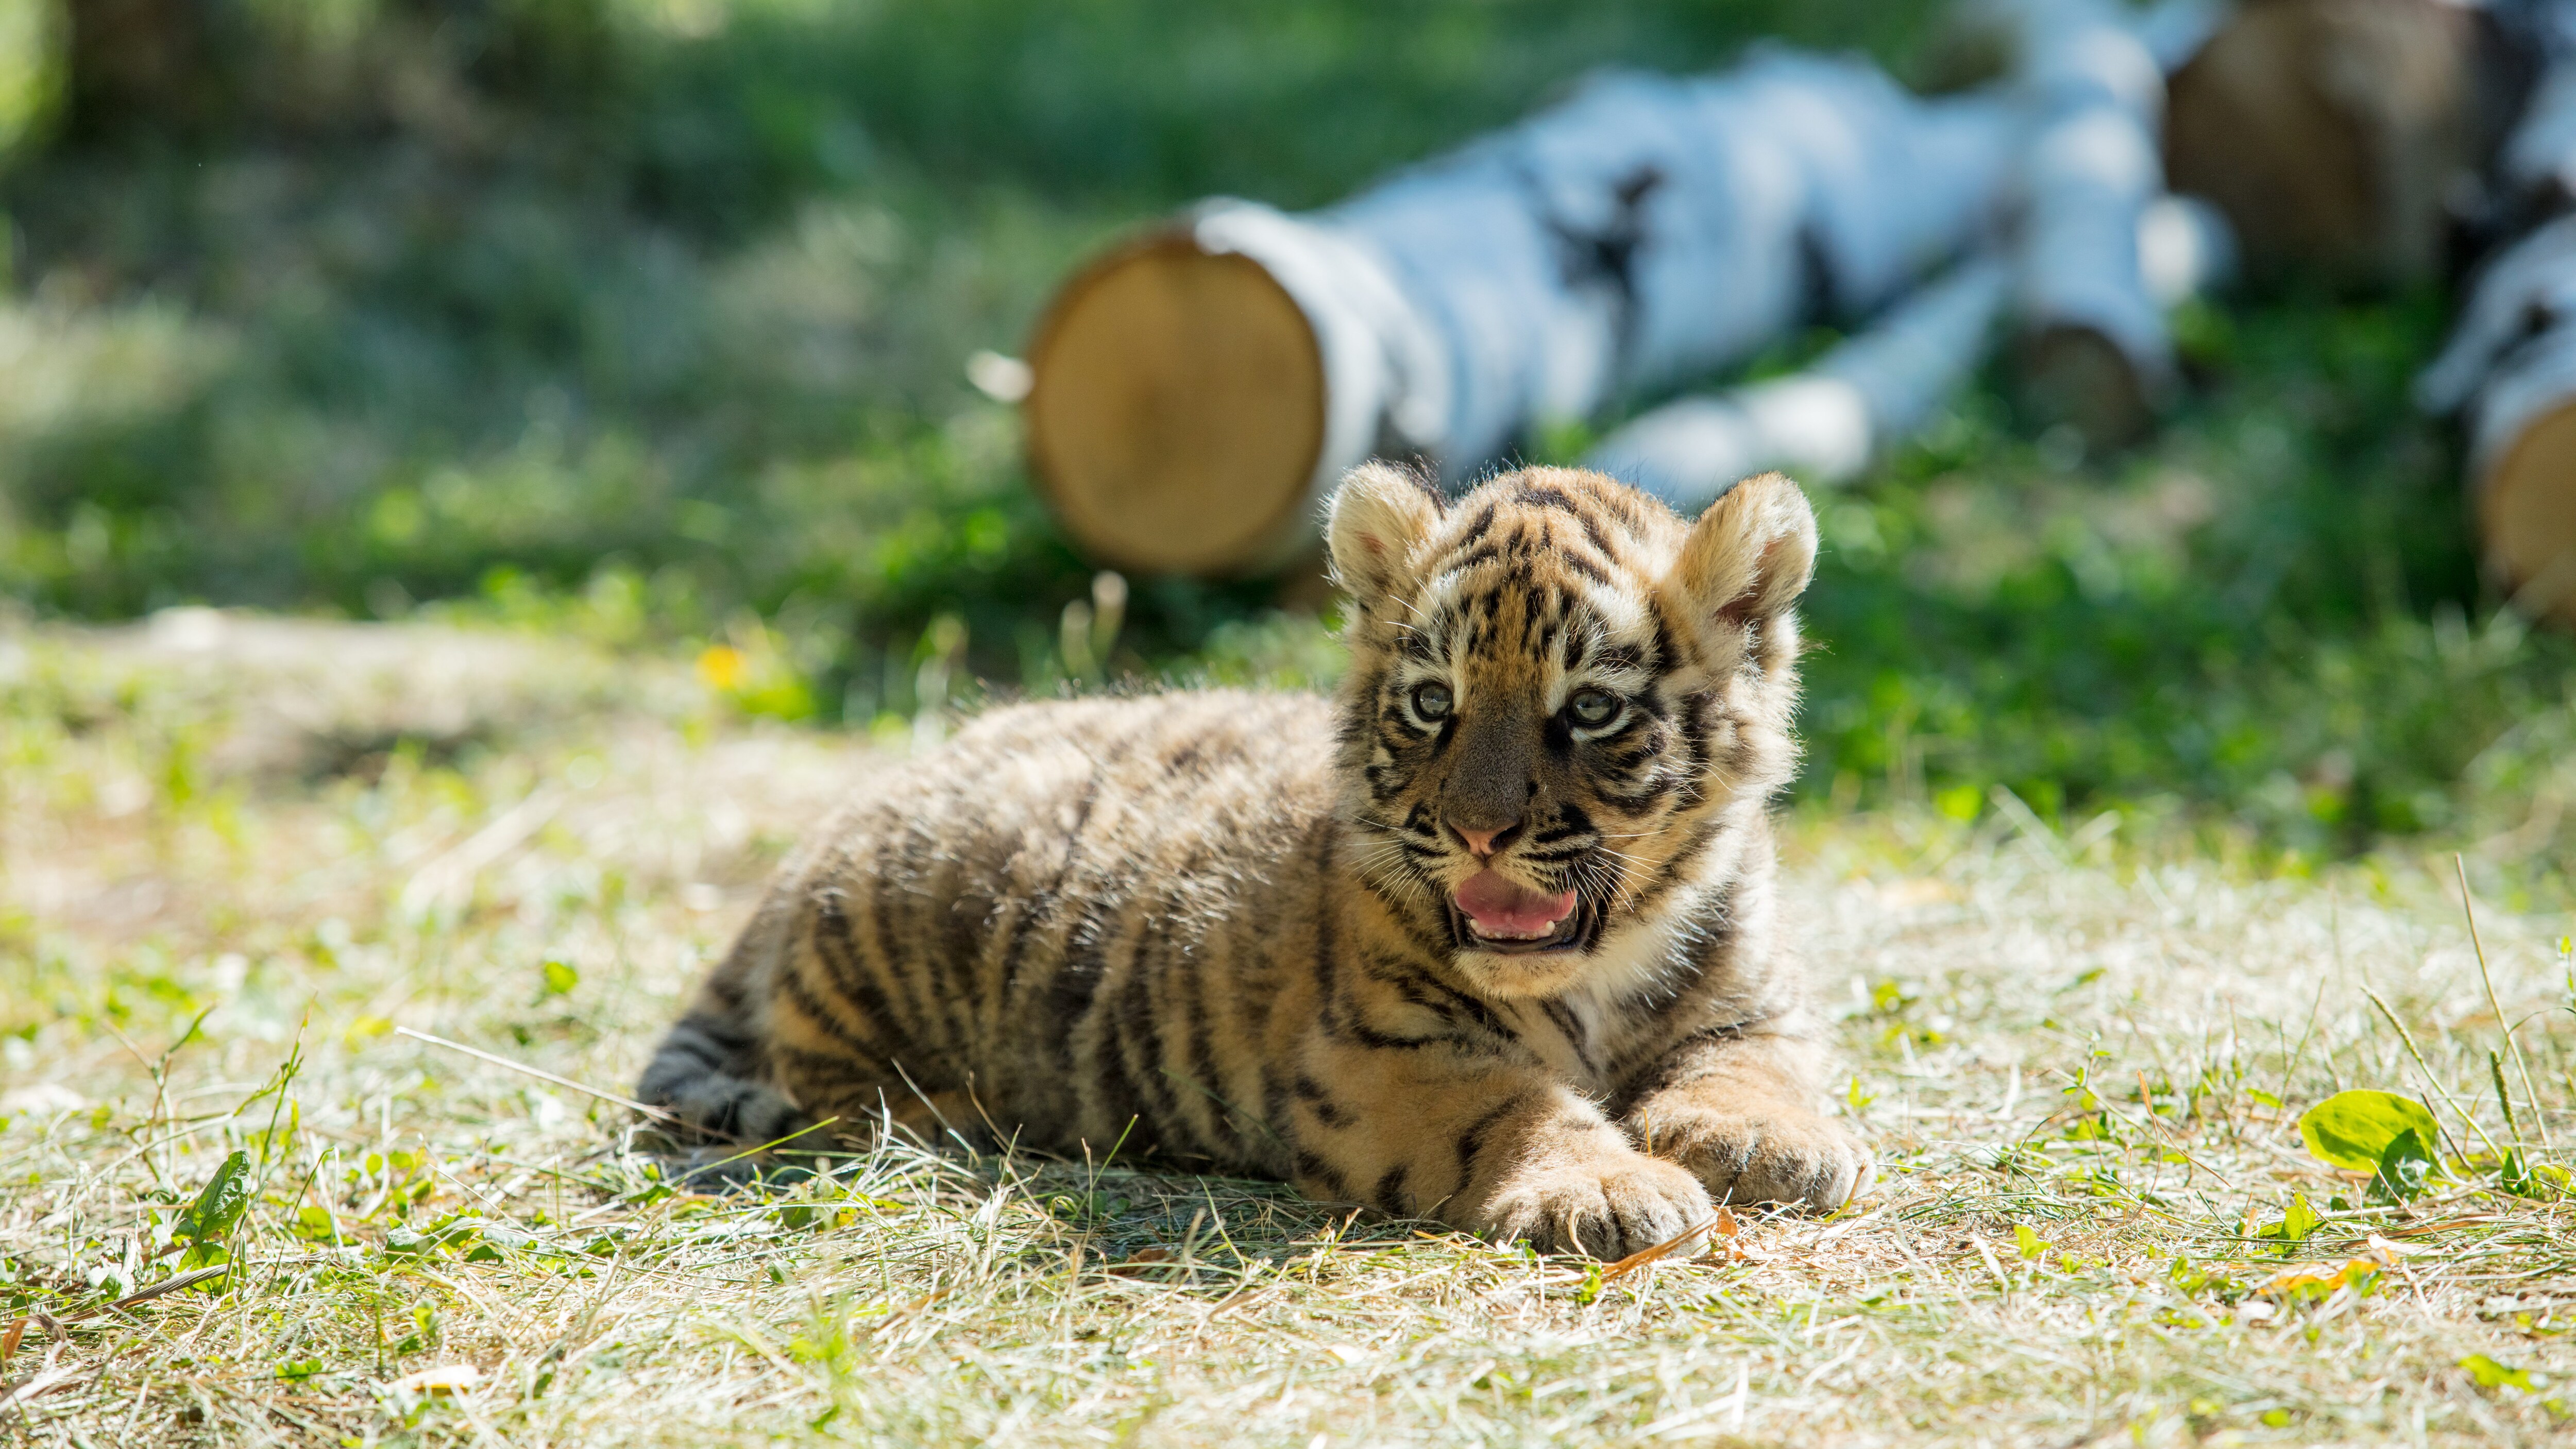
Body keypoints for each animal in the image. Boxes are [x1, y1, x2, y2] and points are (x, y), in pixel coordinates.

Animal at [638, 463, 1873, 1257]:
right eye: (1433, 702)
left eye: (1592, 708)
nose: (1479, 831)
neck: (1601, 970)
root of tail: (824, 831)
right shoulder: (1381, 1054)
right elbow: (1519, 1107)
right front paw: (1614, 1186)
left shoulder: (1756, 1001)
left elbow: (1750, 1064)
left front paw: (1775, 1143)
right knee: (830, 1085)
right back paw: (954, 1112)